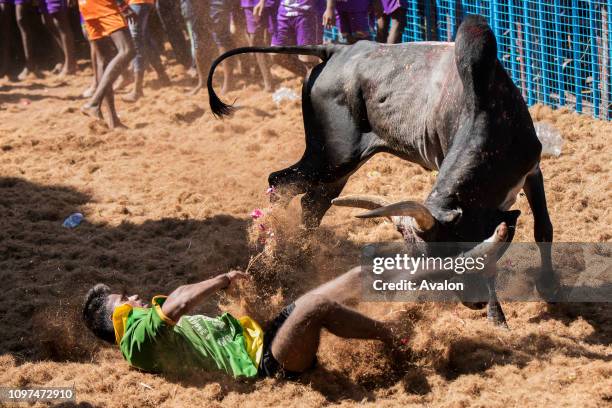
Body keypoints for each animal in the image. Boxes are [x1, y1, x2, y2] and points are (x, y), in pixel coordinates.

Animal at [206, 15, 560, 326]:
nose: (472, 302)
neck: (486, 112)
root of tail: (337, 50)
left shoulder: (533, 171)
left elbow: (543, 228)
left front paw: (549, 287)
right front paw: (497, 318)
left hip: (337, 165)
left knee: (310, 202)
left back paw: (297, 258)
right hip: (333, 157)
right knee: (281, 182)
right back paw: (274, 256)